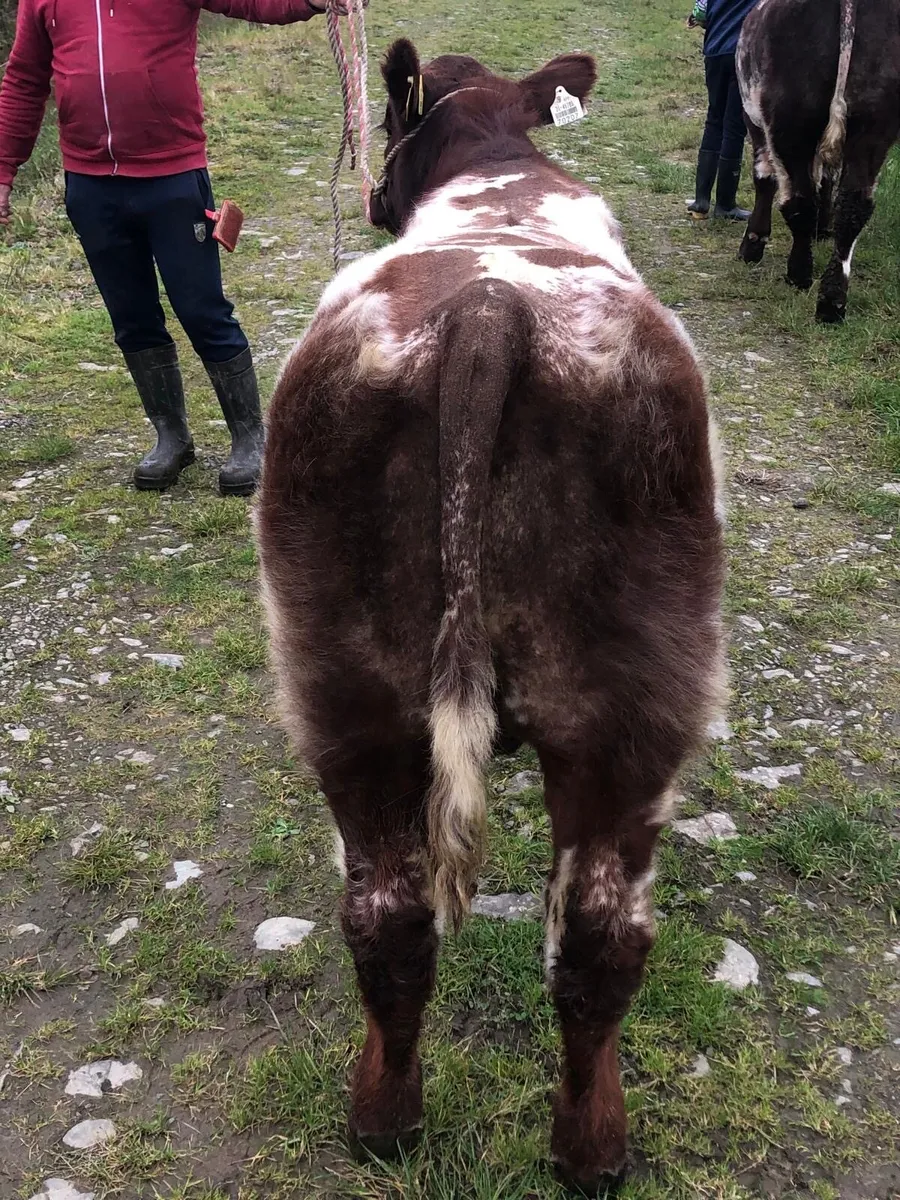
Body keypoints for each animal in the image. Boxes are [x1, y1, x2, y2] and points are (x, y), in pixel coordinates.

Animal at [256, 39, 726, 1195]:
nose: (374, 197)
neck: (501, 169)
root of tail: (487, 311)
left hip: (357, 689)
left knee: (400, 915)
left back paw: (393, 1122)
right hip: (631, 704)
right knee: (596, 936)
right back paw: (585, 1146)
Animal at [737, 0, 900, 323]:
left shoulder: (755, 122)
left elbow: (764, 177)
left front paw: (753, 244)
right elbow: (827, 177)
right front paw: (823, 229)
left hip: (790, 122)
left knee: (799, 199)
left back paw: (799, 275)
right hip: (874, 125)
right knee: (853, 205)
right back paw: (833, 300)